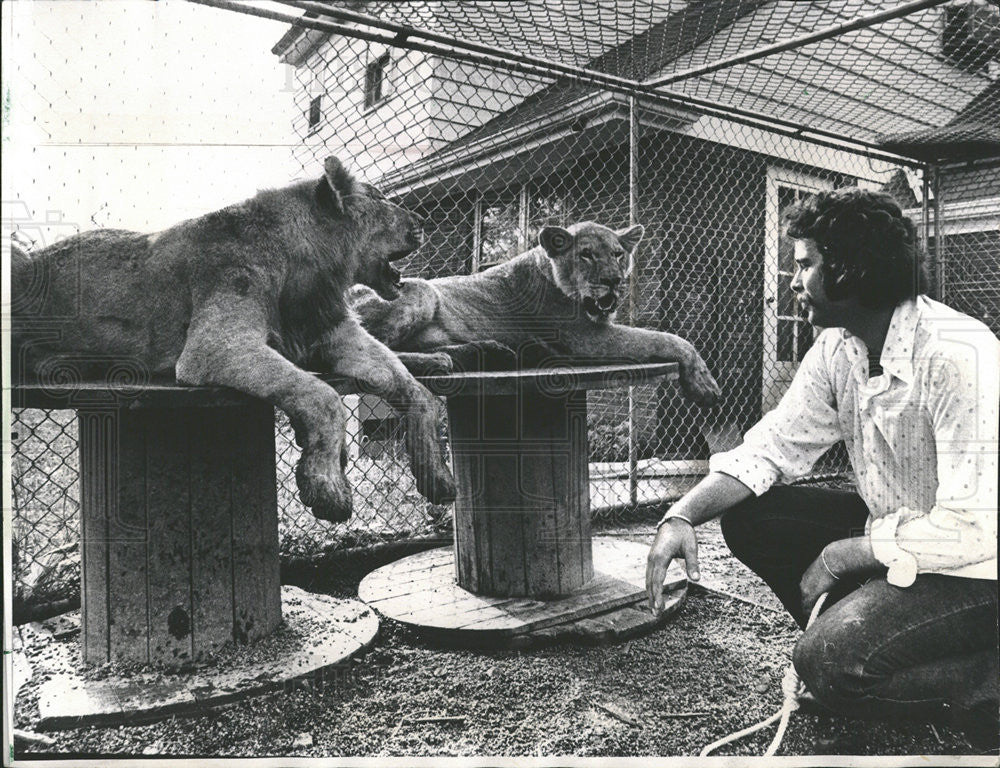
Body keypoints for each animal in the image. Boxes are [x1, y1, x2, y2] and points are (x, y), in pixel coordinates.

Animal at [10, 154, 458, 520]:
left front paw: (436, 475)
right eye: (380, 198)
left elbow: (418, 393)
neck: (311, 272)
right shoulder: (214, 346)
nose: (422, 223)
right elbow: (323, 396)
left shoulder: (336, 335)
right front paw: (327, 486)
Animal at [350, 219, 720, 404]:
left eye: (618, 254)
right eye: (586, 254)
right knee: (373, 354)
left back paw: (494, 352)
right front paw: (704, 383)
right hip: (422, 292)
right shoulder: (586, 338)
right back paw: (450, 360)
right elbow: (667, 338)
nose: (613, 281)